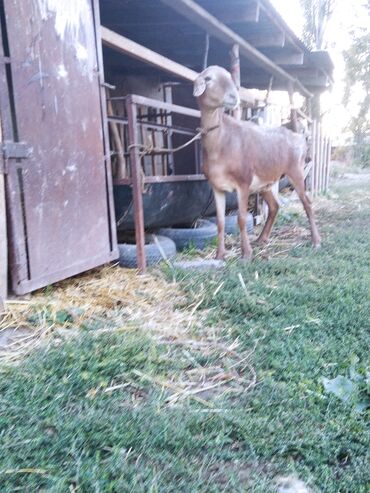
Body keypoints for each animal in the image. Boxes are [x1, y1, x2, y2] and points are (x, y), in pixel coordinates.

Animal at [194, 65, 320, 262]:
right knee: (275, 206)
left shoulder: (243, 182)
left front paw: (246, 254)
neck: (221, 142)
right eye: (208, 78)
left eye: (230, 77)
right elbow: (220, 222)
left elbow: (241, 218)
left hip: (296, 171)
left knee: (307, 203)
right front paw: (220, 255)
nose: (233, 97)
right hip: (266, 183)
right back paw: (262, 239)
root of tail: (300, 137)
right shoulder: (217, 187)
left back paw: (316, 241)